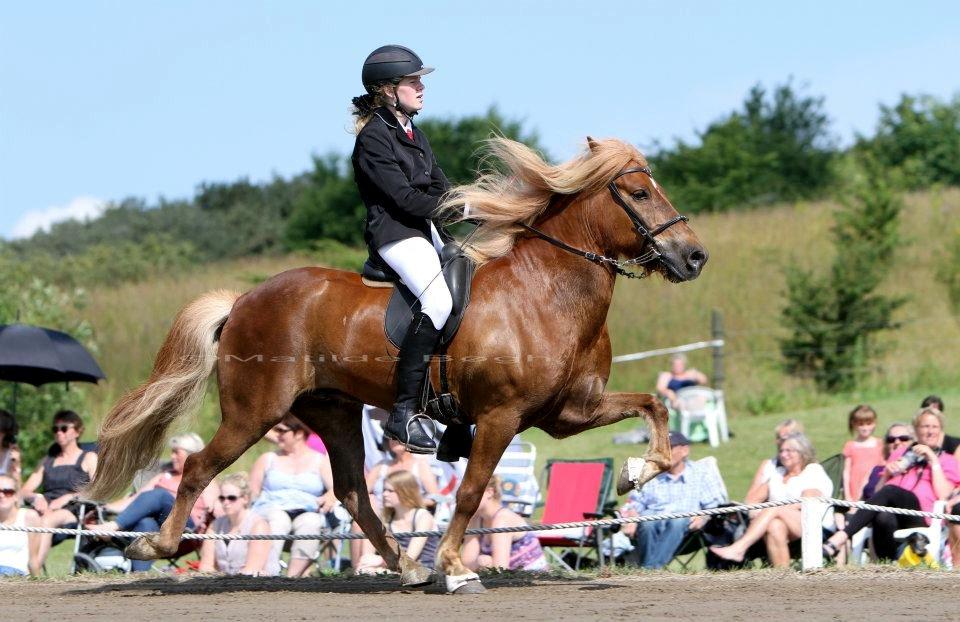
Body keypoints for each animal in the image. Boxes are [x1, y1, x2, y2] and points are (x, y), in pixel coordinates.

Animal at [88, 135, 704, 596]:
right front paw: (454, 568)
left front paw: (637, 471)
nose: (694, 257)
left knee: (352, 493)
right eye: (637, 192)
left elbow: (655, 404)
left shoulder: (569, 413)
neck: (546, 292)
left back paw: (406, 567)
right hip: (252, 412)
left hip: (333, 412)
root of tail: (242, 301)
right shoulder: (501, 417)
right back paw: (155, 545)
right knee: (198, 469)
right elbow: (472, 491)